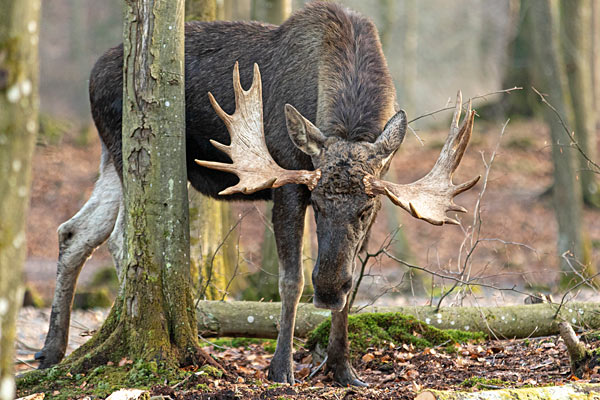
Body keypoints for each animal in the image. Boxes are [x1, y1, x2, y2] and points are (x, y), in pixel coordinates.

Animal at [37, 1, 478, 386]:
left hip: (110, 159)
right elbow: (291, 279)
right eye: (317, 204)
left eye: (365, 209)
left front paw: (343, 368)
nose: (327, 289)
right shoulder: (289, 180)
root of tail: (91, 75)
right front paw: (280, 369)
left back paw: (51, 351)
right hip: (123, 148)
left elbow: (354, 286)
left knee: (74, 231)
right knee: (118, 237)